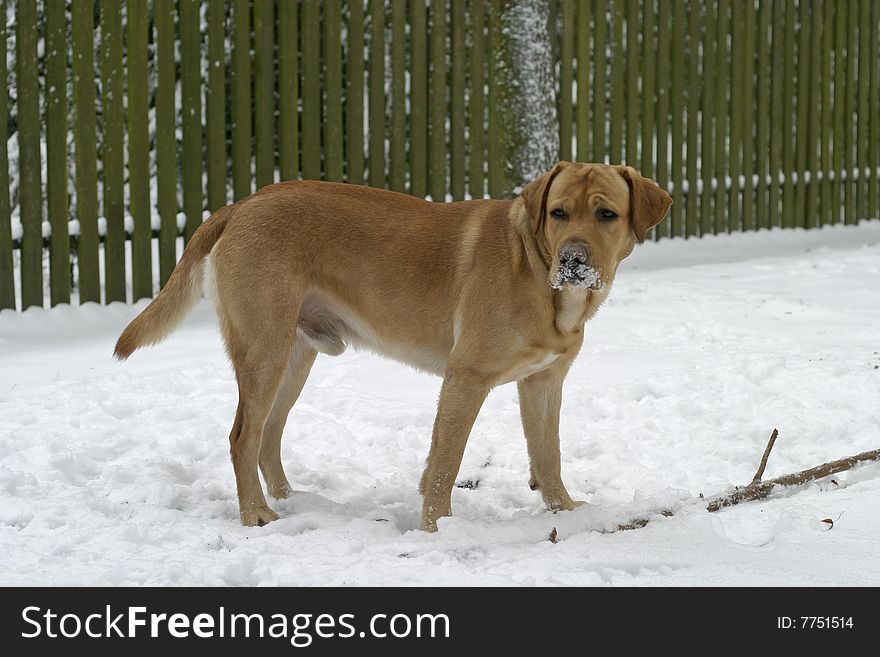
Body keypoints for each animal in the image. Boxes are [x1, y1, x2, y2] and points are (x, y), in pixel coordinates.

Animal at [113, 161, 672, 532]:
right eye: (557, 213)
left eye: (606, 214)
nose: (575, 260)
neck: (540, 273)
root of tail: (239, 204)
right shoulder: (466, 379)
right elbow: (444, 467)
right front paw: (437, 531)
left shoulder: (542, 383)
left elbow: (547, 456)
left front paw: (565, 513)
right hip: (264, 350)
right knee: (241, 437)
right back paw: (256, 514)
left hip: (294, 357)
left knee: (268, 435)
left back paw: (292, 500)